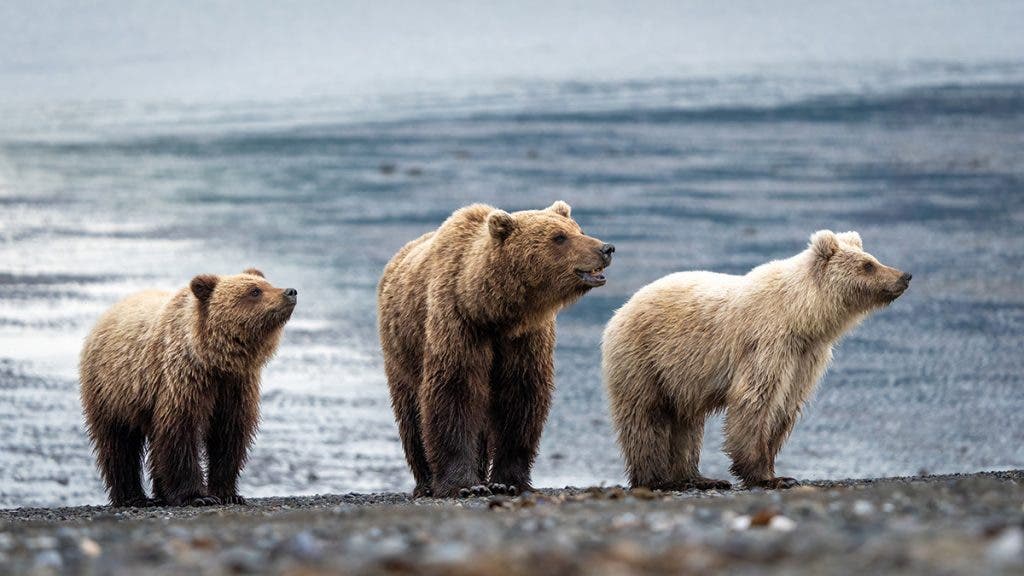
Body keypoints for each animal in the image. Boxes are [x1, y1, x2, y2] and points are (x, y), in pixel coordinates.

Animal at [79, 269, 296, 507]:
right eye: (255, 291)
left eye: (267, 283)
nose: (290, 291)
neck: (216, 360)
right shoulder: (182, 380)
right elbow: (180, 432)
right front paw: (198, 496)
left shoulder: (236, 387)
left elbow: (229, 436)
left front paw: (229, 494)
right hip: (112, 390)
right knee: (119, 444)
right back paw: (133, 497)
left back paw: (161, 494)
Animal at [378, 201, 614, 498]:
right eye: (559, 237)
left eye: (578, 229)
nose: (606, 248)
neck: (493, 312)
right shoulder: (459, 325)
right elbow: (454, 393)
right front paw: (463, 485)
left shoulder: (524, 339)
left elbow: (520, 399)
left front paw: (507, 481)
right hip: (401, 351)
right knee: (410, 413)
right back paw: (426, 483)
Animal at [602, 230, 911, 490]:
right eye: (868, 265)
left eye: (873, 258)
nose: (904, 276)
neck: (802, 316)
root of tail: (620, 311)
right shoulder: (767, 342)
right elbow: (755, 399)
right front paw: (768, 476)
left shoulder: (805, 358)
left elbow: (784, 406)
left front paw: (776, 471)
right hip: (645, 359)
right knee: (646, 415)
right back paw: (656, 479)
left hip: (679, 378)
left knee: (687, 423)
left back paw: (697, 478)